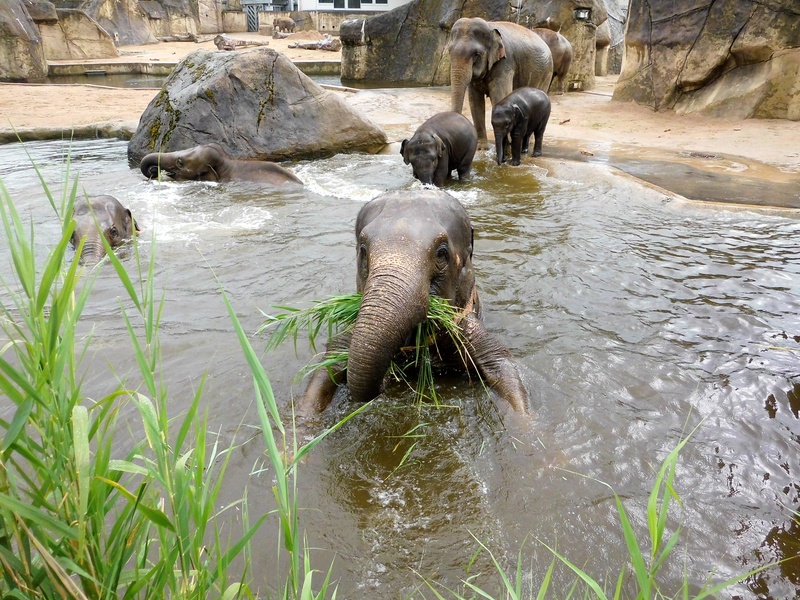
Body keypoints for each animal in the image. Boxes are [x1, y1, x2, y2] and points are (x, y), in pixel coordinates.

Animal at [447, 17, 553, 148]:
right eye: (449, 52)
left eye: (476, 54)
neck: (489, 26)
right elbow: (475, 101)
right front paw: (481, 147)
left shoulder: (505, 63)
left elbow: (500, 95)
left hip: (546, 73)